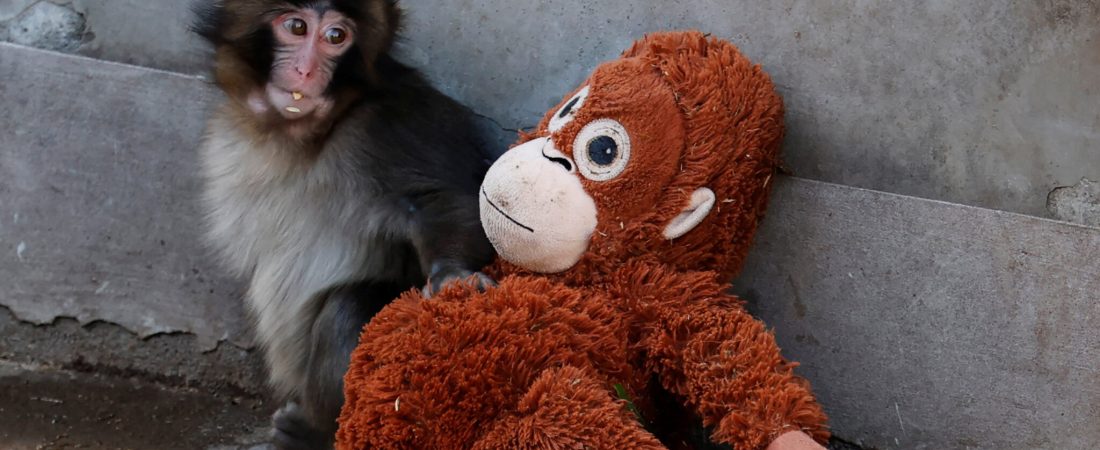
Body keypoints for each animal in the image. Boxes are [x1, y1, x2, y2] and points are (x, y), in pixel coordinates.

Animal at [190, 1, 497, 448]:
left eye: (337, 37)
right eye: (296, 27)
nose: (305, 71)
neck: (306, 134)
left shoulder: (395, 124)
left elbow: (441, 199)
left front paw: (453, 275)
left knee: (348, 308)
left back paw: (314, 433)